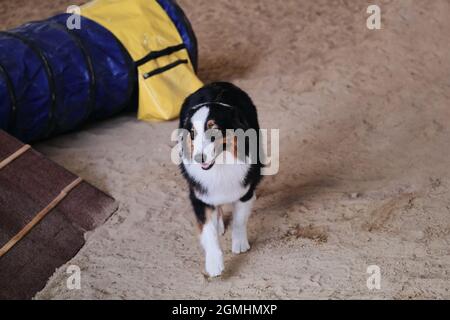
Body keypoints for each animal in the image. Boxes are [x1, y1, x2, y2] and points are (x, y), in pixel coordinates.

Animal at [178, 82, 262, 278]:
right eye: (192, 133)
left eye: (214, 128)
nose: (199, 158)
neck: (220, 164)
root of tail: (216, 83)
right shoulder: (199, 196)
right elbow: (208, 232)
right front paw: (214, 264)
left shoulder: (245, 189)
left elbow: (239, 220)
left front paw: (240, 244)